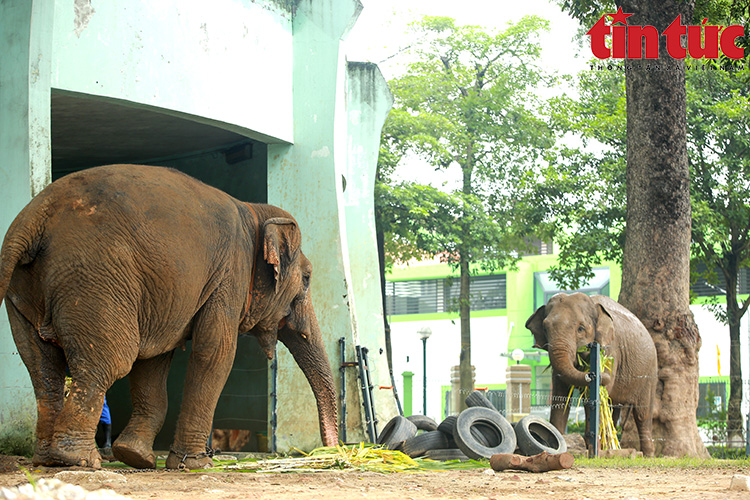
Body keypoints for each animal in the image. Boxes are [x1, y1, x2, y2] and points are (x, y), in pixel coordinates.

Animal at [0, 164, 338, 468]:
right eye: (307, 279)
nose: (334, 452)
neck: (253, 212)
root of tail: (32, 219)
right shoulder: (230, 275)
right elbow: (215, 352)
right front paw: (196, 464)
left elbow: (153, 360)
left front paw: (136, 457)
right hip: (93, 277)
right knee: (110, 360)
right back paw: (78, 460)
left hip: (25, 290)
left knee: (42, 367)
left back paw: (46, 460)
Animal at [528, 292, 656, 458]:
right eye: (545, 328)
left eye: (581, 328)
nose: (591, 374)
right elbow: (560, 396)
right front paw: (558, 447)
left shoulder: (610, 349)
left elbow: (594, 398)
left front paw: (592, 452)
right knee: (613, 410)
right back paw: (612, 449)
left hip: (650, 372)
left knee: (642, 414)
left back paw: (647, 455)